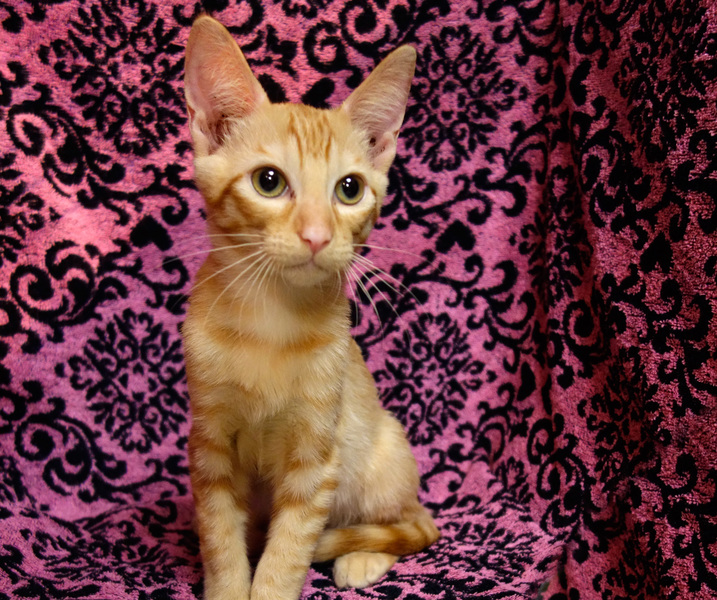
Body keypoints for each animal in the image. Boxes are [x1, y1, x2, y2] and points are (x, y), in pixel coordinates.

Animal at [182, 15, 439, 600]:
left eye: (350, 189)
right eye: (268, 181)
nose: (319, 236)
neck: (269, 323)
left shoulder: (316, 457)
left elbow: (289, 549)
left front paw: (271, 585)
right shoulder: (209, 446)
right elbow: (220, 538)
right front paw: (228, 585)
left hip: (383, 454)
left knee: (413, 523)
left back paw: (360, 557)